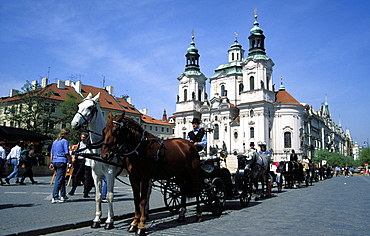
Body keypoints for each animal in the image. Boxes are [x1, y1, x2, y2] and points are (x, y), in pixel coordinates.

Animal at [69, 93, 115, 230]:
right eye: (79, 106)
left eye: (90, 107)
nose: (74, 123)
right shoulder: (96, 174)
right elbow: (98, 196)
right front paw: (97, 219)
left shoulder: (110, 173)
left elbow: (109, 195)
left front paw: (109, 221)